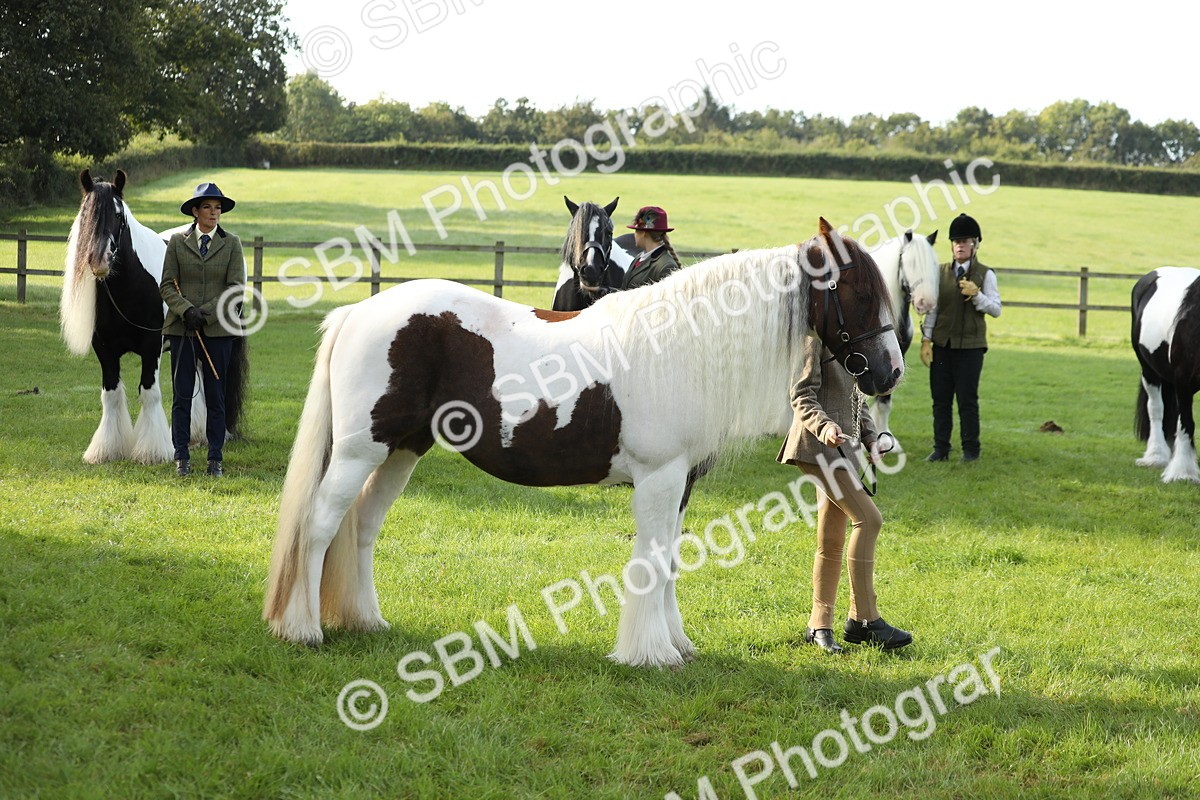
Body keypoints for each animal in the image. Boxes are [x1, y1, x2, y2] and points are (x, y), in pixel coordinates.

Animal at [60, 169, 249, 464]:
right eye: (86, 214)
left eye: (118, 215)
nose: (99, 261)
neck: (129, 286)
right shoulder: (104, 350)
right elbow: (111, 395)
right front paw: (107, 450)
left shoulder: (151, 347)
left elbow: (149, 393)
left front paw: (152, 451)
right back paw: (195, 434)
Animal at [264, 218, 904, 668]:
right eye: (858, 293)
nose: (890, 371)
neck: (683, 344)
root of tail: (357, 313)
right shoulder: (658, 479)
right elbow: (652, 559)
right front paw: (649, 654)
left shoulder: (680, 484)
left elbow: (671, 558)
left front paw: (677, 643)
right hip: (359, 451)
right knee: (319, 526)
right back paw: (303, 629)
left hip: (400, 451)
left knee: (362, 527)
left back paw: (366, 622)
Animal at [865, 229, 940, 447]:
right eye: (911, 262)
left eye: (934, 264)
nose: (926, 302)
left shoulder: (894, 363)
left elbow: (884, 403)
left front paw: (885, 439)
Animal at [1131, 266, 1200, 483]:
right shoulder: (1184, 383)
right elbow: (1186, 423)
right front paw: (1183, 473)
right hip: (1149, 371)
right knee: (1156, 409)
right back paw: (1156, 456)